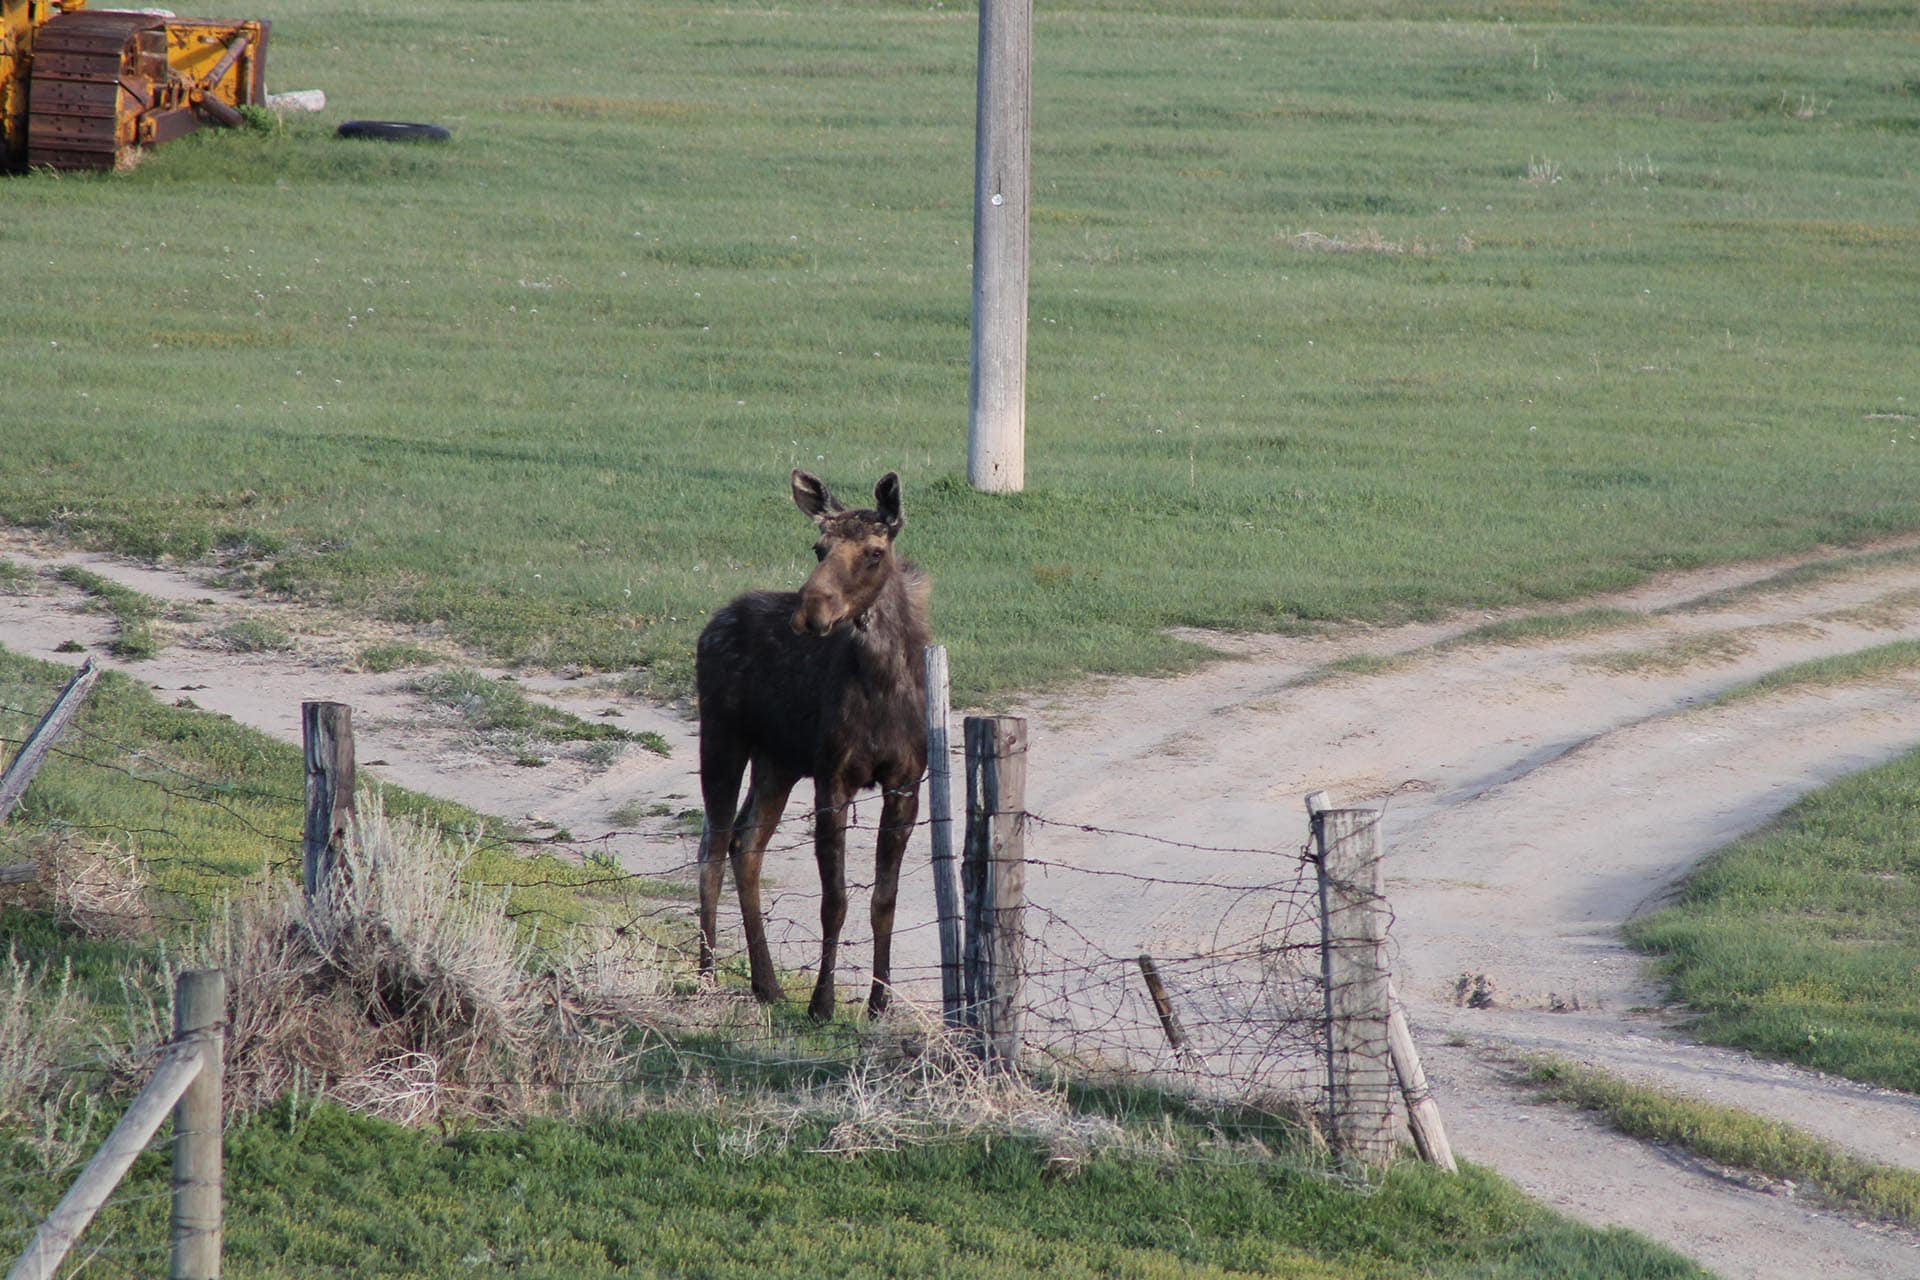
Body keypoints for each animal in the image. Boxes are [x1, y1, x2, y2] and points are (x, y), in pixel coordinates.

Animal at [695, 469, 932, 1021]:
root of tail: (713, 621)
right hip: (721, 737)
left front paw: (879, 1001)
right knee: (713, 844)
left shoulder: (906, 783)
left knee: (745, 845)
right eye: (819, 547)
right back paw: (706, 973)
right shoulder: (833, 778)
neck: (882, 687)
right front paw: (822, 1004)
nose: (811, 612)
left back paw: (766, 983)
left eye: (873, 552)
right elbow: (835, 901)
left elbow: (883, 900)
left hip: (776, 762)